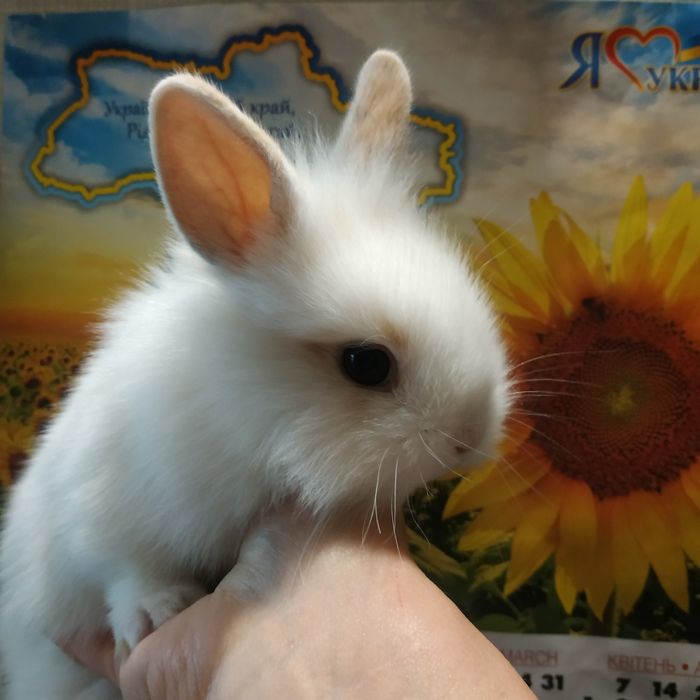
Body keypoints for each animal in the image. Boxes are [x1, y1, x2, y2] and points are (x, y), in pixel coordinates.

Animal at [0, 49, 510, 699]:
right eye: (366, 364)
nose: (469, 440)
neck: (246, 404)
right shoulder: (97, 506)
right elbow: (119, 565)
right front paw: (158, 611)